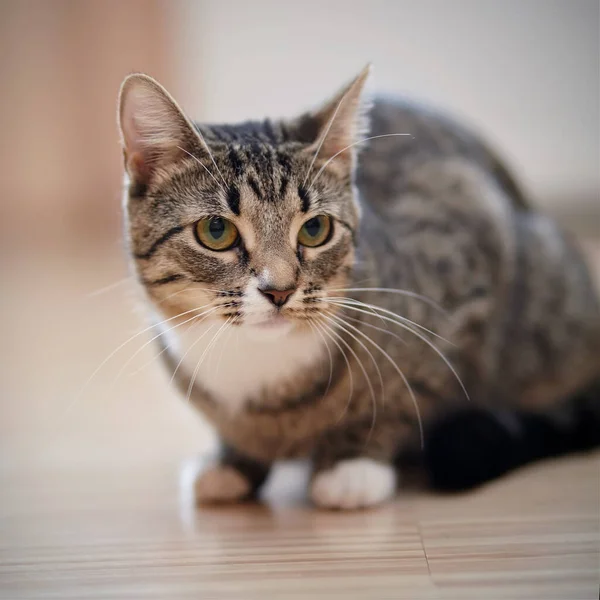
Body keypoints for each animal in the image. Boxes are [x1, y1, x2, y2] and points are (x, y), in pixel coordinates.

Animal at [117, 65, 600, 508]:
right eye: (216, 231)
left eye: (315, 229)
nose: (279, 290)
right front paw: (231, 462)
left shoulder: (469, 273)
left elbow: (404, 397)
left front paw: (353, 464)